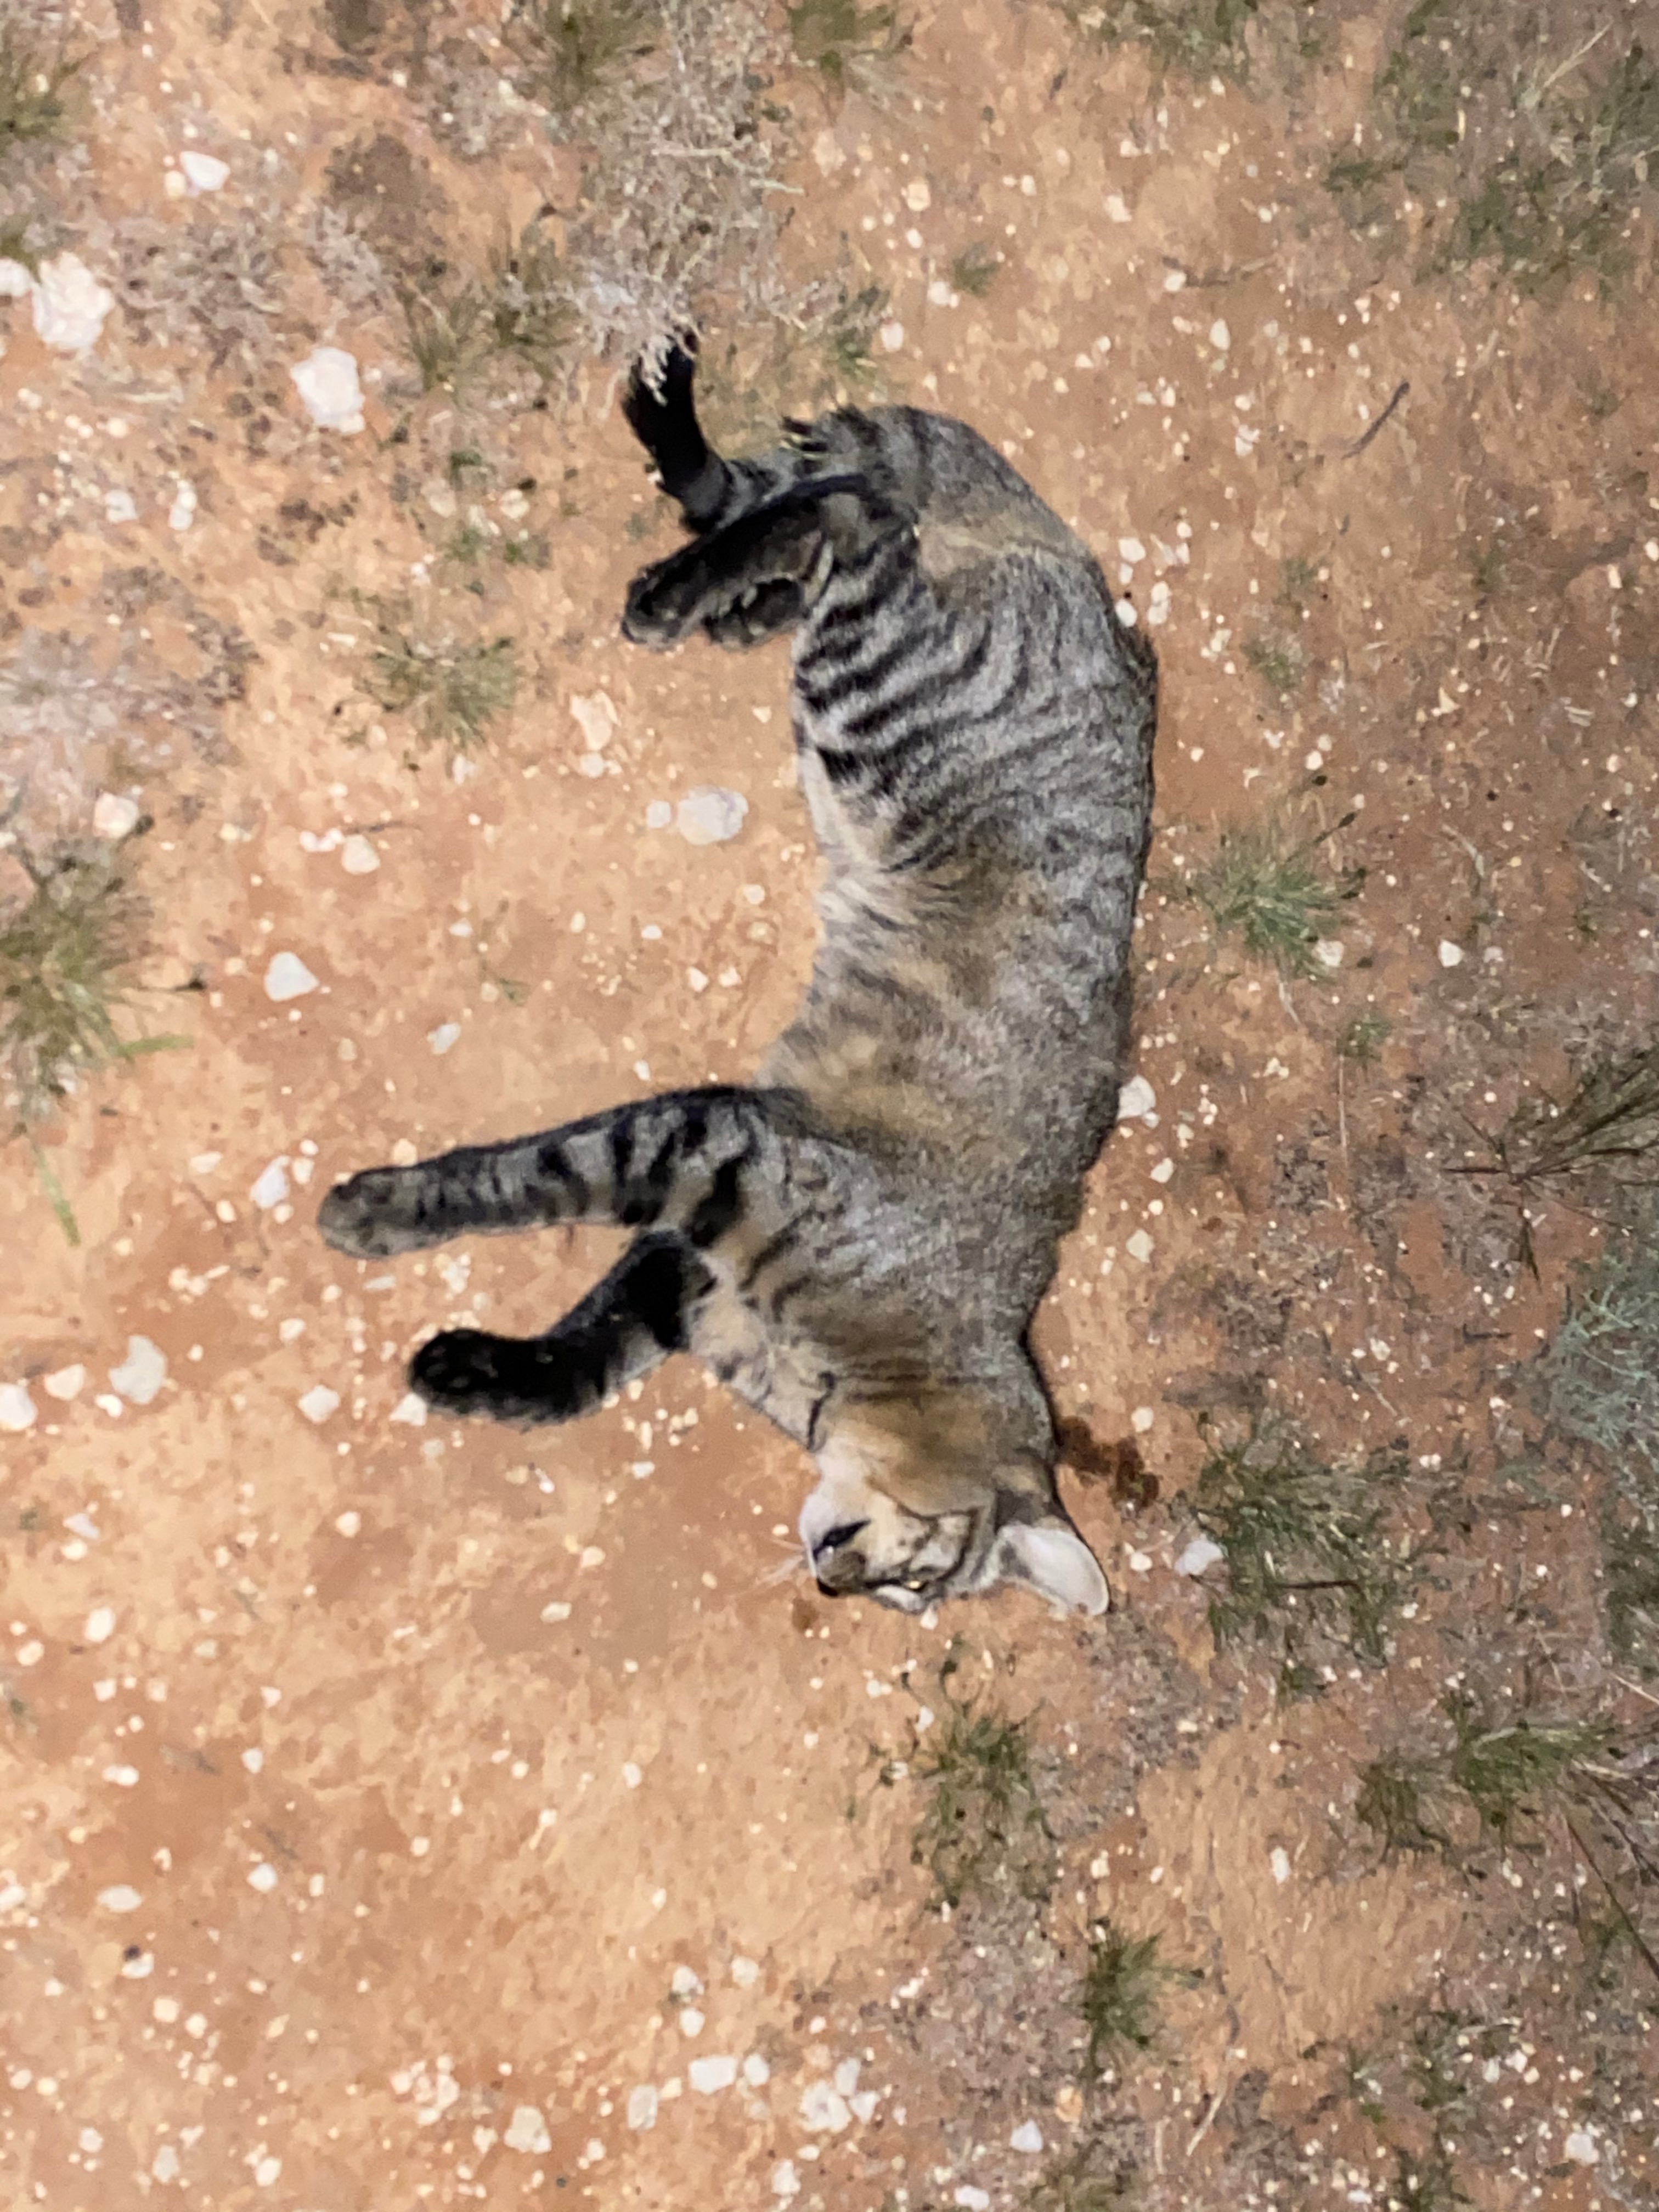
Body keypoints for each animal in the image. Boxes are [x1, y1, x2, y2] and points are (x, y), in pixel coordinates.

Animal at [318, 337, 1157, 1618]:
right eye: (924, 1570)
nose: (837, 1583)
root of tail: (1064, 554)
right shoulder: (723, 1151)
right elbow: (529, 1177)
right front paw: (387, 1212)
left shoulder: (699, 1235)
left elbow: (593, 1343)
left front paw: (493, 1374)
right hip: (882, 682)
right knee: (847, 511)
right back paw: (688, 580)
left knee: (812, 504)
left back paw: (725, 582)